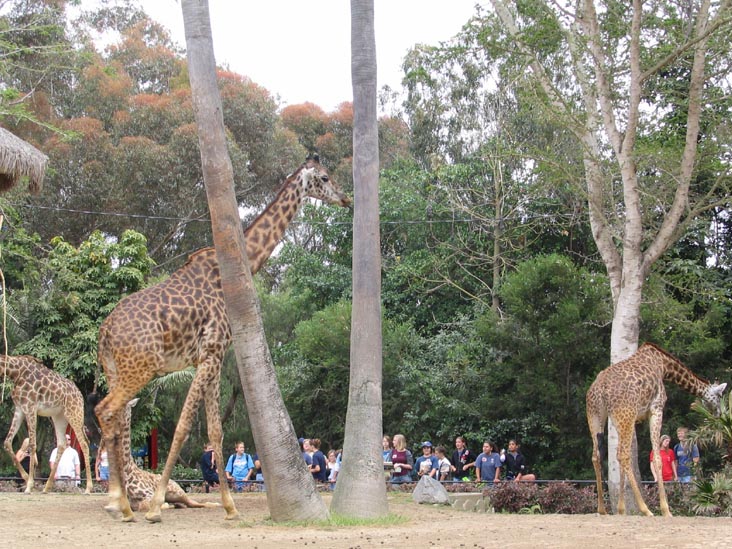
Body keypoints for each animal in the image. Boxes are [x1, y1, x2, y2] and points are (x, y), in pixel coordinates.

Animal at [1, 355, 94, 494]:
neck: (15, 372)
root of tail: (80, 395)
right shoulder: (20, 409)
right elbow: (7, 442)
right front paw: (27, 479)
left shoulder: (30, 408)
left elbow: (32, 444)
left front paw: (29, 485)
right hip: (59, 416)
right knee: (61, 444)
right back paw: (46, 487)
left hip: (74, 413)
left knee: (84, 444)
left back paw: (88, 488)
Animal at [94, 155, 350, 522]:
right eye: (326, 177)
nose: (346, 198)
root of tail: (104, 332)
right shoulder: (213, 351)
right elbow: (186, 426)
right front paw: (156, 507)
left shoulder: (211, 356)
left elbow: (215, 429)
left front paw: (229, 507)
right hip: (139, 370)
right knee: (105, 410)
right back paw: (124, 505)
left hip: (116, 371)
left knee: (112, 417)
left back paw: (119, 503)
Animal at [586, 342, 727, 517]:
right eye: (720, 396)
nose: (720, 414)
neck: (664, 366)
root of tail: (599, 389)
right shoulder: (656, 409)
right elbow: (658, 458)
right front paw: (666, 510)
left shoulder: (633, 419)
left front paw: (621, 509)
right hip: (624, 415)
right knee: (623, 455)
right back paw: (645, 509)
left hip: (597, 417)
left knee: (597, 455)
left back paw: (602, 509)